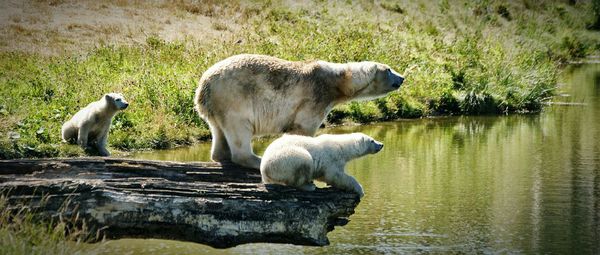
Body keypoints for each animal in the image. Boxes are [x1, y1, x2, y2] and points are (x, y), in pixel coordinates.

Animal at [195, 53, 406, 169]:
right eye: (388, 69)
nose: (402, 78)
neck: (338, 82)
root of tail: (203, 86)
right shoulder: (315, 97)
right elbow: (302, 129)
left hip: (216, 106)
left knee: (218, 130)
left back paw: (221, 155)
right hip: (234, 97)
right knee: (239, 129)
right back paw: (256, 160)